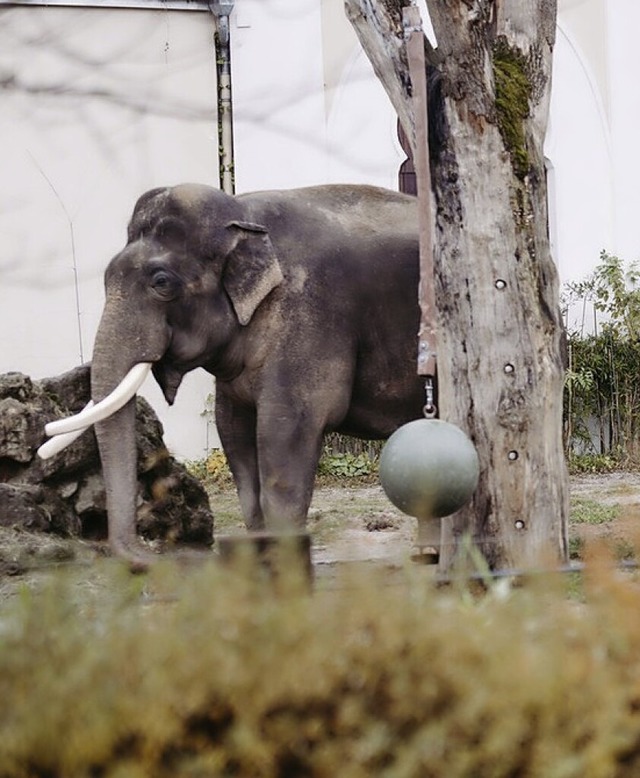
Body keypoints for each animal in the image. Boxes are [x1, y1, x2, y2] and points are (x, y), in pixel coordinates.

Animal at [72, 186, 422, 564]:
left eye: (161, 282)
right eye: (106, 277)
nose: (161, 553)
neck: (243, 213)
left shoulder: (308, 317)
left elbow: (286, 432)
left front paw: (287, 566)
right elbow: (234, 432)